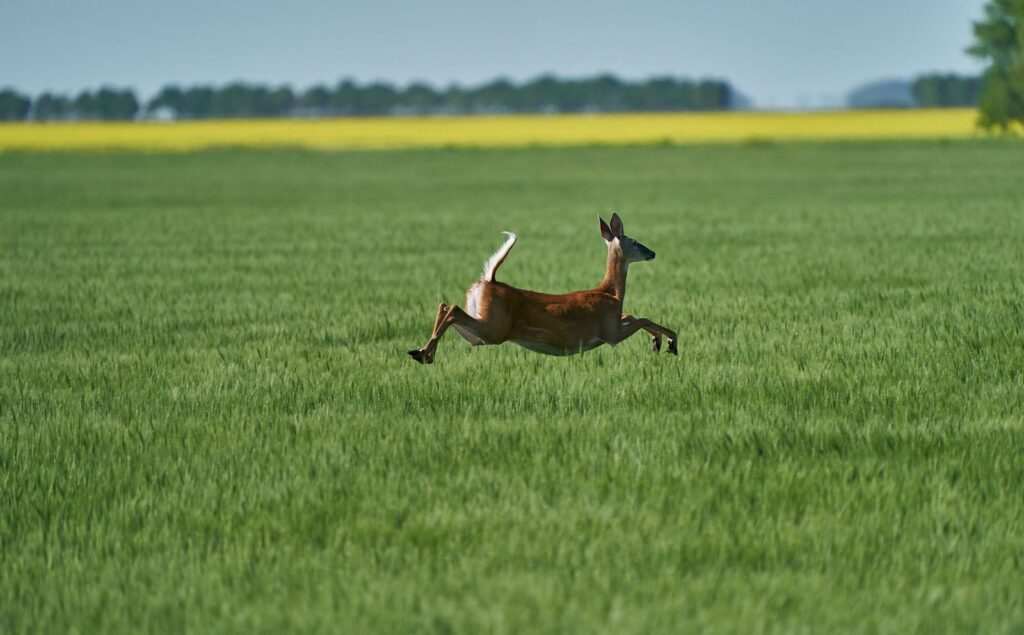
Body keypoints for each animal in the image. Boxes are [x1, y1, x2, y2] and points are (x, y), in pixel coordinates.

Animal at [408, 213, 677, 364]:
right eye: (635, 241)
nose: (652, 253)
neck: (611, 293)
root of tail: (489, 281)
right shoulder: (610, 332)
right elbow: (641, 318)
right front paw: (670, 342)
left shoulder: (615, 321)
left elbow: (633, 315)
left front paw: (658, 342)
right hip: (493, 328)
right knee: (452, 308)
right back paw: (423, 354)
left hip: (480, 333)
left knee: (445, 306)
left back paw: (422, 353)